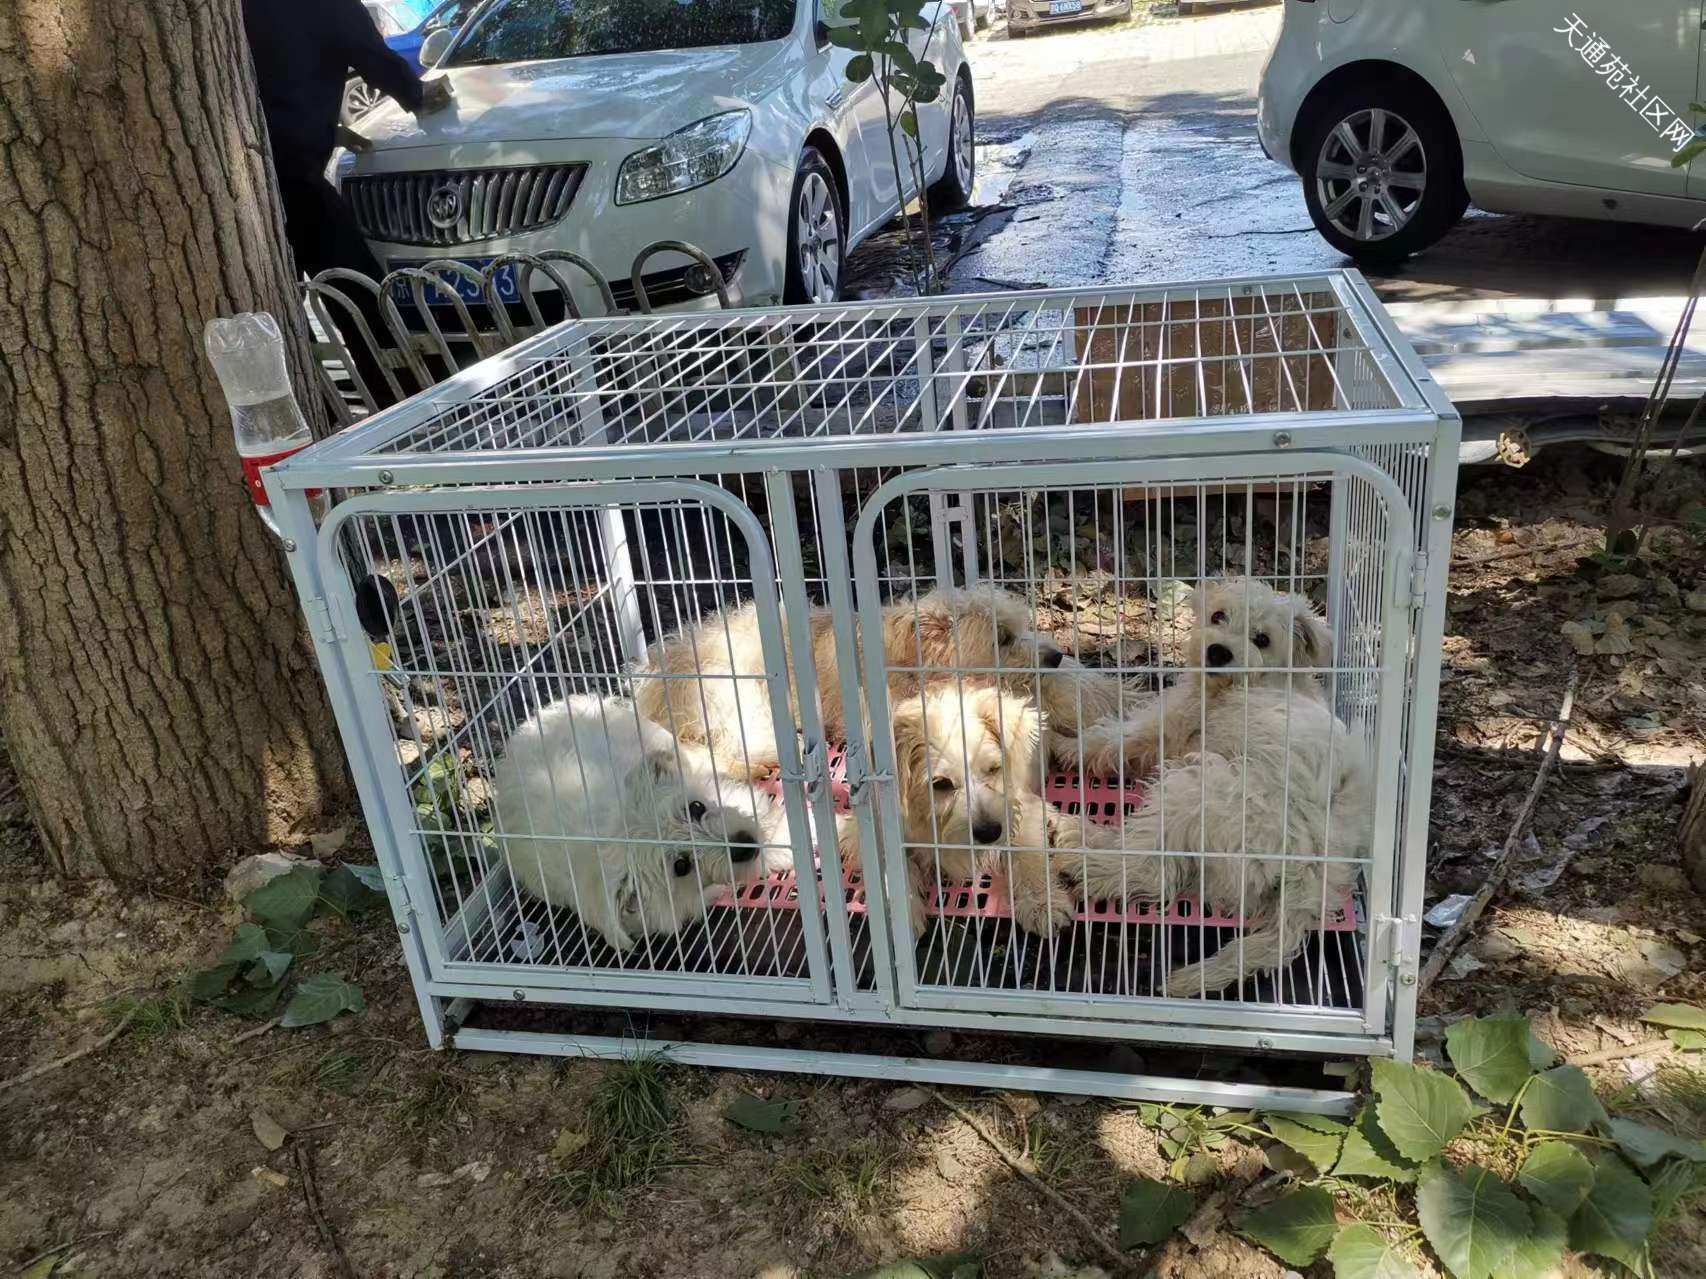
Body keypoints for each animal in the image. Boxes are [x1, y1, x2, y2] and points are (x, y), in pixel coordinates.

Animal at [1062, 578, 1373, 994]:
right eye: (1218, 616)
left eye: (1262, 639)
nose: (1218, 651)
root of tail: (1310, 867)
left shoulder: (1168, 724)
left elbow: (1110, 738)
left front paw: (1061, 744)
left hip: (1198, 786)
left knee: (1152, 870)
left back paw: (1079, 844)